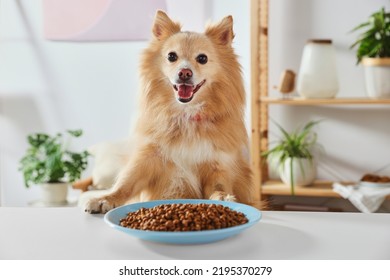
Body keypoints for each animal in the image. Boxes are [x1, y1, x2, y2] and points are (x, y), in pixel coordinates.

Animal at [84, 10, 258, 212]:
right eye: (172, 57)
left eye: (202, 59)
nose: (184, 73)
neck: (186, 113)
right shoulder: (148, 158)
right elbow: (125, 183)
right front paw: (105, 198)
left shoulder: (218, 165)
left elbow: (218, 186)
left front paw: (223, 198)